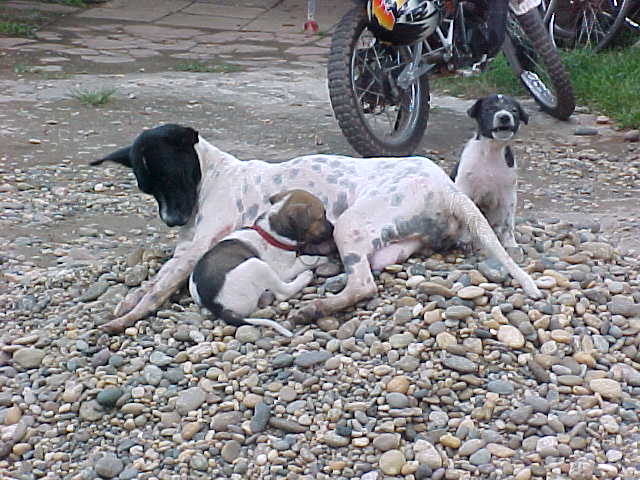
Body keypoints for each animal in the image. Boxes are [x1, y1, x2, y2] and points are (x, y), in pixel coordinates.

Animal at [189, 188, 336, 338]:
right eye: (322, 215)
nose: (333, 227)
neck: (271, 233)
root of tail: (216, 305)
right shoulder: (283, 270)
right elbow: (305, 260)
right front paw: (322, 258)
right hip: (257, 265)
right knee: (283, 292)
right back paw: (305, 277)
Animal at [448, 95, 528, 249]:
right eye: (489, 109)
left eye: (514, 110)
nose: (505, 117)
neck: (491, 151)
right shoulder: (465, 189)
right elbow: (466, 218)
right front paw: (465, 240)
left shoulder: (509, 196)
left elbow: (508, 223)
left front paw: (510, 243)